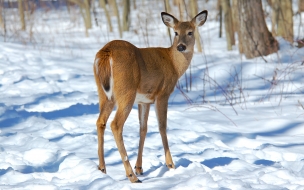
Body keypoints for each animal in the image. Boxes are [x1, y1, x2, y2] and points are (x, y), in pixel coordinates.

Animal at [93, 10, 207, 183]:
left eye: (190, 32)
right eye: (175, 32)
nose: (181, 46)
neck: (174, 64)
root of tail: (106, 52)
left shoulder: (144, 100)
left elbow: (143, 128)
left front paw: (139, 167)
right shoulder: (163, 93)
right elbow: (162, 127)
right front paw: (170, 164)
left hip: (104, 93)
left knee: (100, 121)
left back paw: (102, 168)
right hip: (126, 91)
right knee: (116, 125)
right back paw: (131, 176)